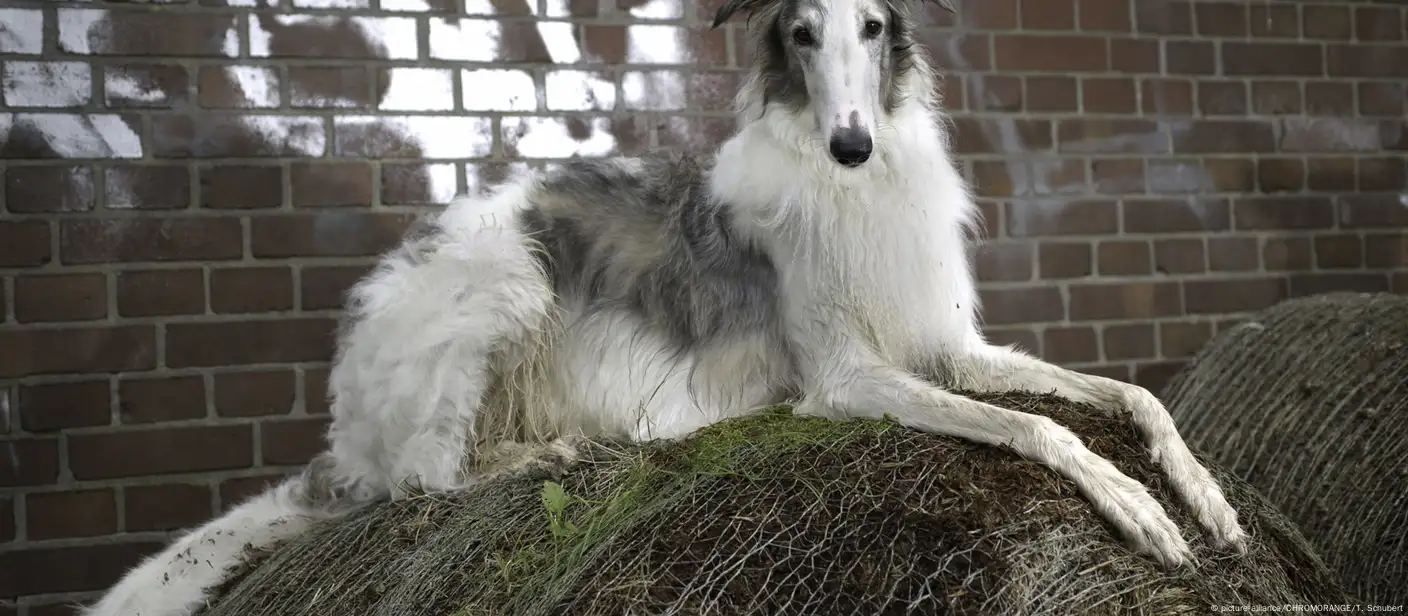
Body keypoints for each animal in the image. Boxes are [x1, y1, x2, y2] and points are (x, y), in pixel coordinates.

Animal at [88, 0, 1250, 610]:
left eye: (875, 27)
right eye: (800, 31)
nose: (851, 142)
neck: (856, 190)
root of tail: (343, 429)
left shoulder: (950, 347)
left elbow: (1129, 398)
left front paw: (1208, 499)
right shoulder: (847, 377)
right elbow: (1041, 431)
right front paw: (1141, 510)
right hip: (503, 285)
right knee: (425, 481)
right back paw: (559, 451)